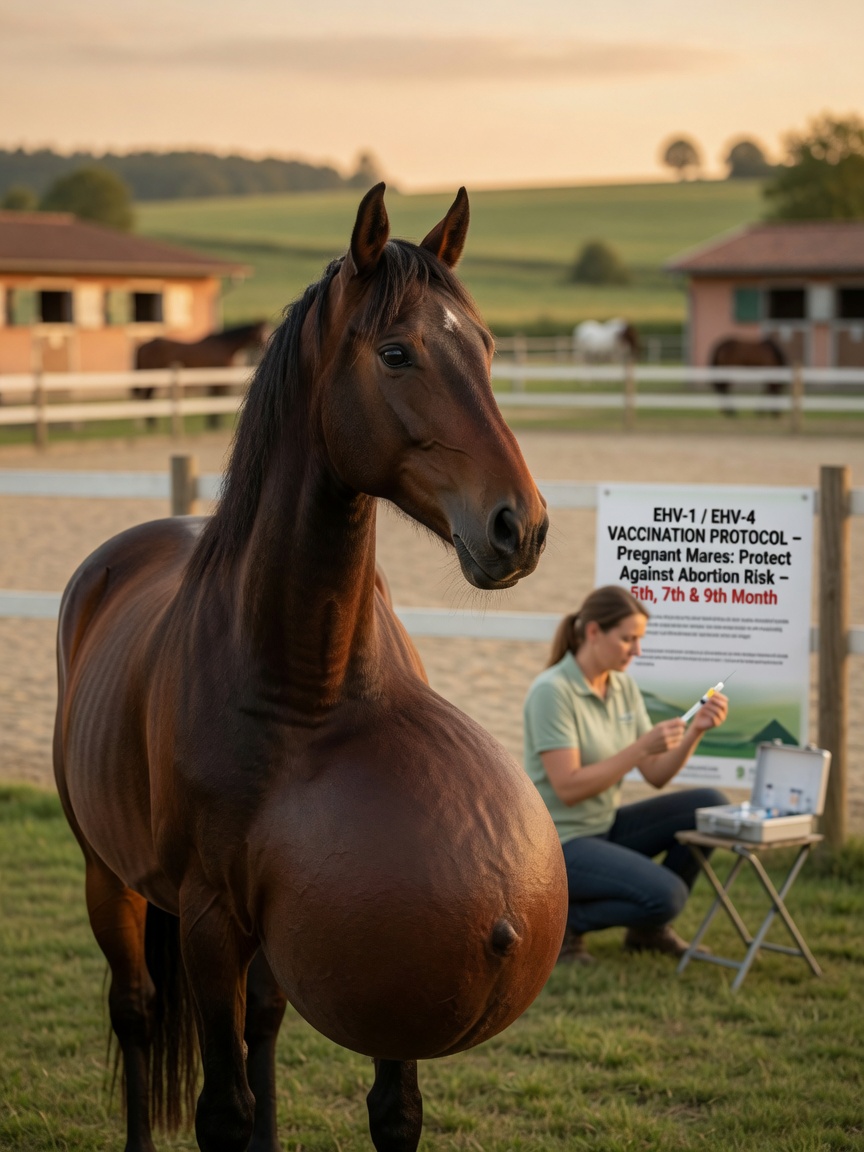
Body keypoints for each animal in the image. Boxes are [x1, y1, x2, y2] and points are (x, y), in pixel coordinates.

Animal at [134, 321, 268, 428]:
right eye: (262, 333)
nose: (266, 349)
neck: (224, 346)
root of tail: (143, 346)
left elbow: (215, 397)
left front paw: (212, 422)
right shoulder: (218, 378)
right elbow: (217, 396)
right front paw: (216, 423)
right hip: (152, 376)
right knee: (148, 397)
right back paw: (152, 423)